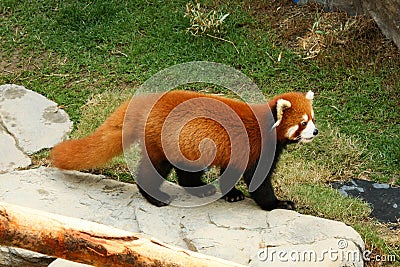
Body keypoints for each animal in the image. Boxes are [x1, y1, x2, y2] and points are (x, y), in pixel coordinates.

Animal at [51, 90, 318, 211]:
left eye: (313, 119)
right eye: (303, 123)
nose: (315, 132)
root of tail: (141, 103)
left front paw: (231, 194)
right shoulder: (256, 148)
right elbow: (258, 182)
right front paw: (278, 204)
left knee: (187, 171)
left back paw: (200, 189)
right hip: (161, 143)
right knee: (153, 170)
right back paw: (155, 197)